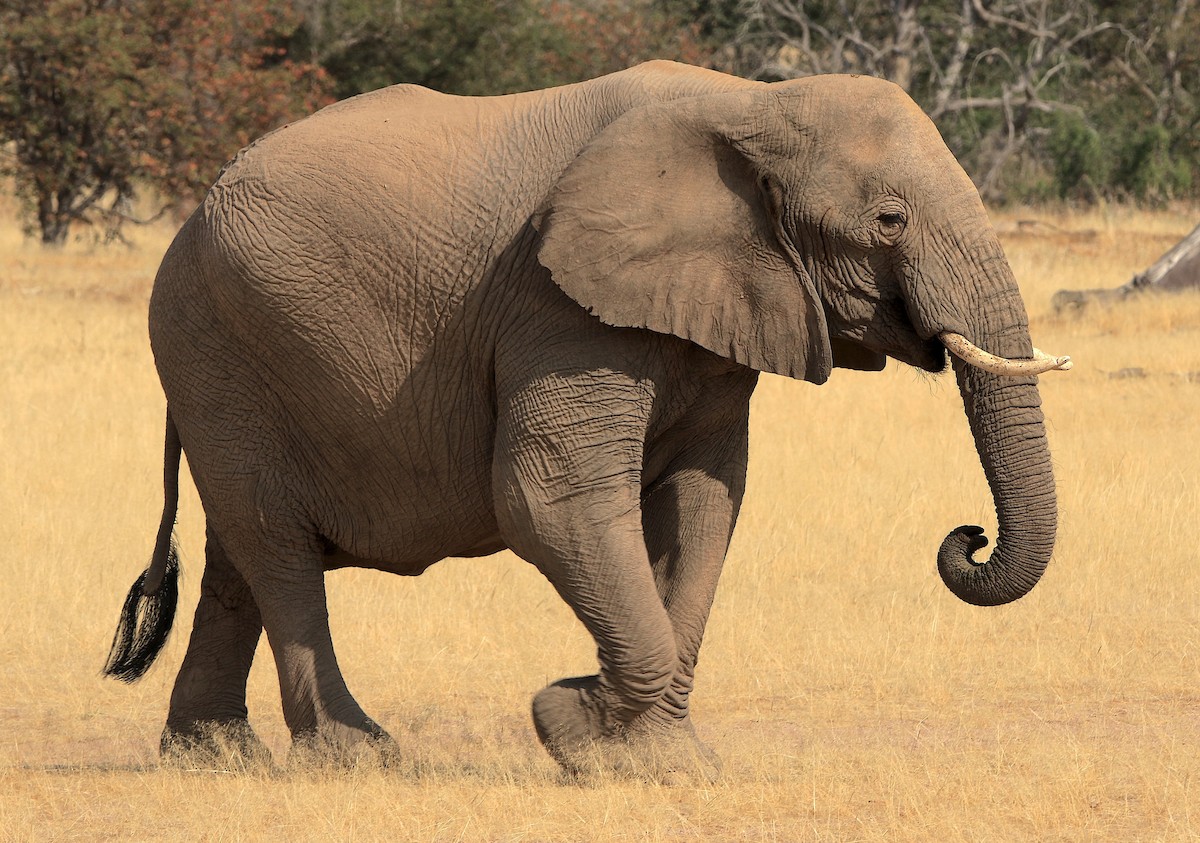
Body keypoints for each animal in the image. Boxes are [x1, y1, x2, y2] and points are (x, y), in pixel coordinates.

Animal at [103, 60, 1070, 777]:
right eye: (889, 219)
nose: (968, 536)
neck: (751, 102)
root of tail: (191, 219)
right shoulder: (556, 305)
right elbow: (547, 498)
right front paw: (570, 724)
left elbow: (703, 506)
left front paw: (657, 759)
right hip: (211, 344)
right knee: (276, 545)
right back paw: (356, 757)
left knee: (238, 553)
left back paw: (213, 757)